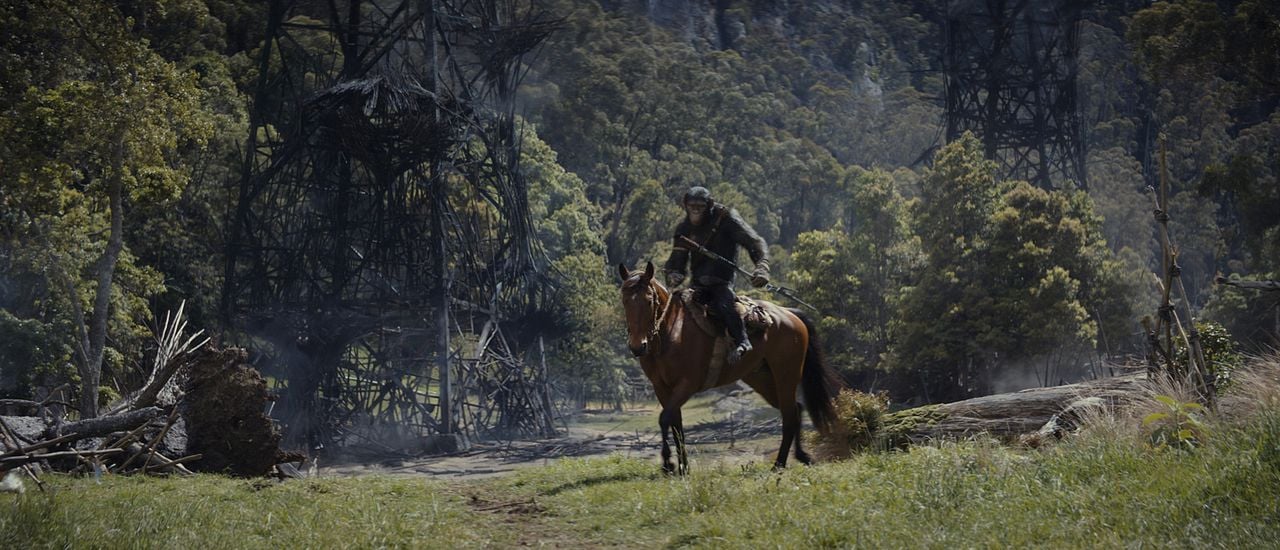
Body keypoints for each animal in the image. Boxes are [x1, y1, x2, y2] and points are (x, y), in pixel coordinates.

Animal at [616, 260, 839, 473]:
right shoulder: (662, 388)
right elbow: (675, 424)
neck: (671, 332)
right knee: (795, 409)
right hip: (762, 379)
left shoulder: (687, 385)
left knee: (790, 414)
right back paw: (800, 456)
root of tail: (789, 314)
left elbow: (664, 419)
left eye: (649, 300)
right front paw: (682, 468)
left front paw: (667, 464)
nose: (637, 346)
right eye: (625, 301)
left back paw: (779, 464)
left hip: (786, 374)